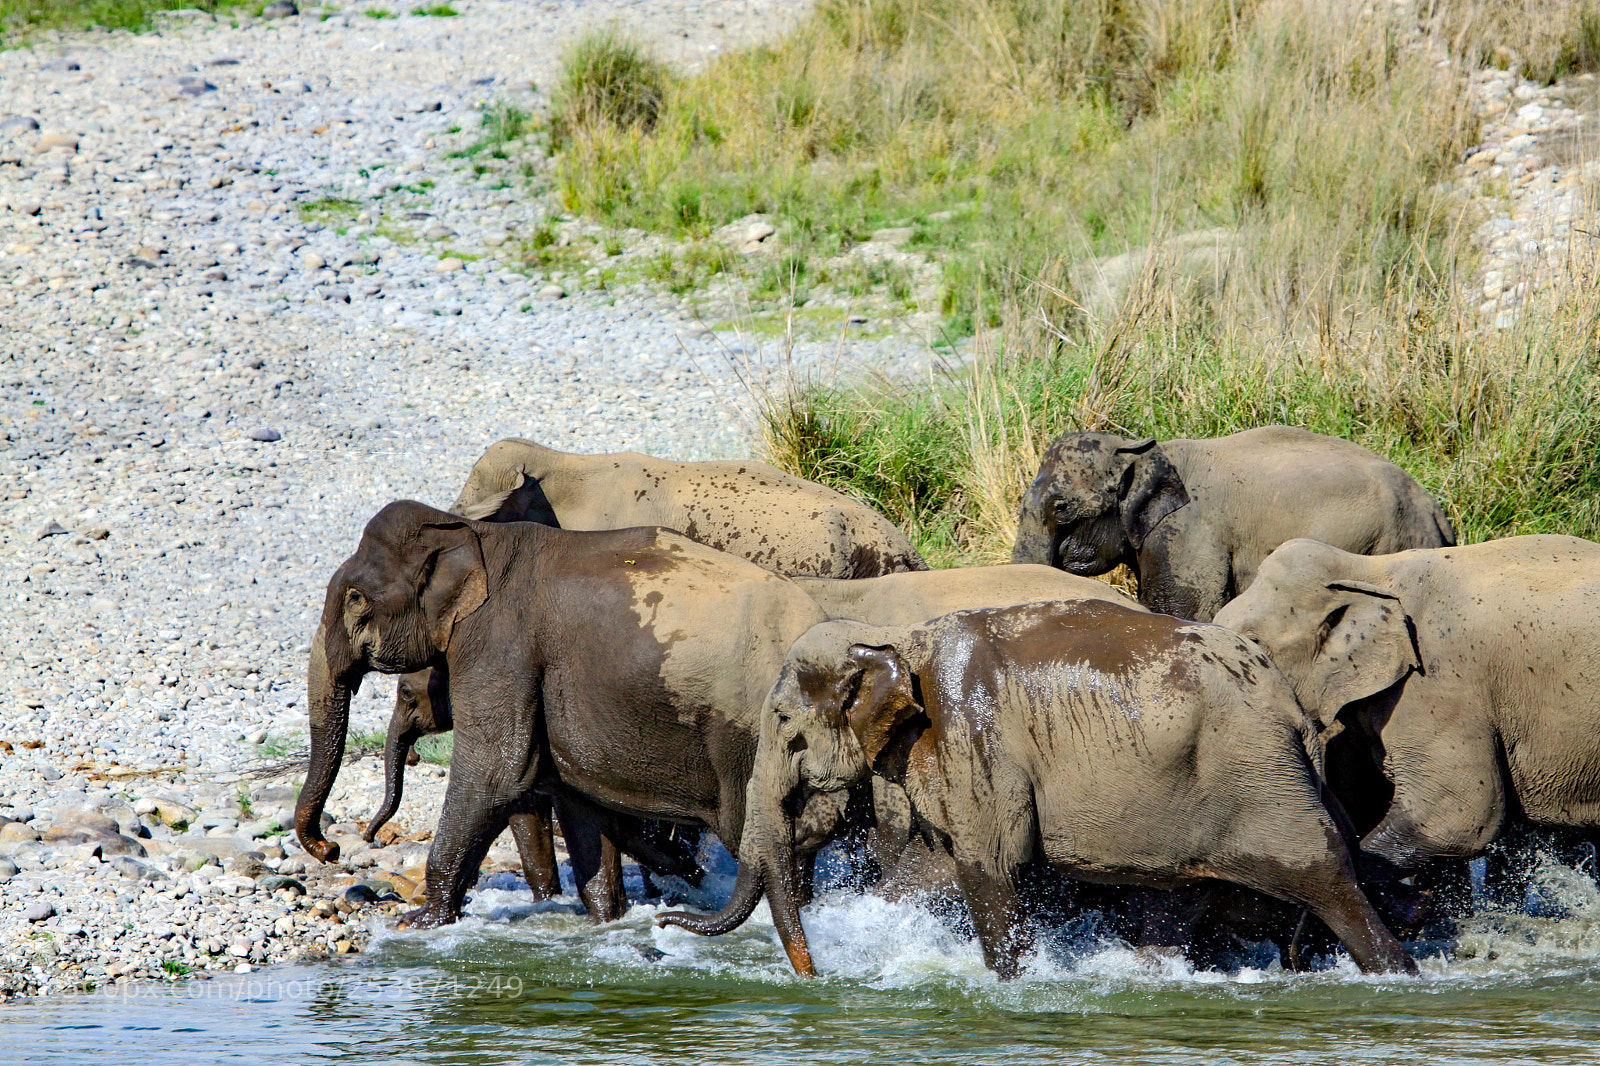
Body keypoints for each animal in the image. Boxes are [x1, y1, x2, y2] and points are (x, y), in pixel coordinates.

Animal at [295, 500, 832, 938]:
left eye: (356, 599)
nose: (333, 848)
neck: (474, 532)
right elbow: (577, 800)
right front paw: (604, 921)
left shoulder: (501, 643)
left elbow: (496, 774)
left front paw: (418, 923)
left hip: (747, 741)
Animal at [660, 599, 1417, 978]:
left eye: (786, 726)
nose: (666, 920)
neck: (894, 634)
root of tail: (1297, 710)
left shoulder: (972, 738)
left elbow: (988, 868)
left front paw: (1010, 984)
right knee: (1177, 901)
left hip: (1260, 777)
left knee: (1328, 881)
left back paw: (1397, 975)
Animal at [1011, 426, 1455, 622]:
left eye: (1061, 508)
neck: (1141, 449)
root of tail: (1436, 511)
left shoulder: (1188, 533)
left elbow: (1184, 610)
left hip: (1395, 541)